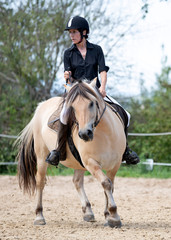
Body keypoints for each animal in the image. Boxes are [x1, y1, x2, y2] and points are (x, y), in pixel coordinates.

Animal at [15, 79, 125, 229]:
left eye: (91, 103)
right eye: (73, 107)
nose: (84, 134)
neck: (105, 134)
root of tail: (41, 105)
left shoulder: (115, 164)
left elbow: (109, 187)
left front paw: (108, 216)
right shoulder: (90, 162)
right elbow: (106, 183)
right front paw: (114, 216)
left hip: (78, 163)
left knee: (77, 182)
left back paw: (88, 212)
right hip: (42, 156)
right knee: (40, 182)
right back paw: (39, 216)